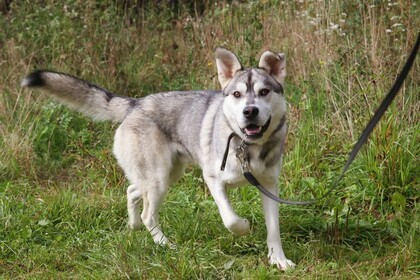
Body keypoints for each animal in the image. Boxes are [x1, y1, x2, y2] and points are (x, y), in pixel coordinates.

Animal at [20, 47, 296, 270]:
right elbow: (230, 219)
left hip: (165, 175)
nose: (250, 111)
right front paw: (244, 227)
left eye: (264, 92)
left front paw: (278, 260)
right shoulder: (213, 180)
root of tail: (135, 103)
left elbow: (274, 229)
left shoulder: (269, 186)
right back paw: (164, 244)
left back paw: (133, 227)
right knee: (148, 214)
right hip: (159, 178)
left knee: (133, 191)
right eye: (237, 95)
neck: (249, 148)